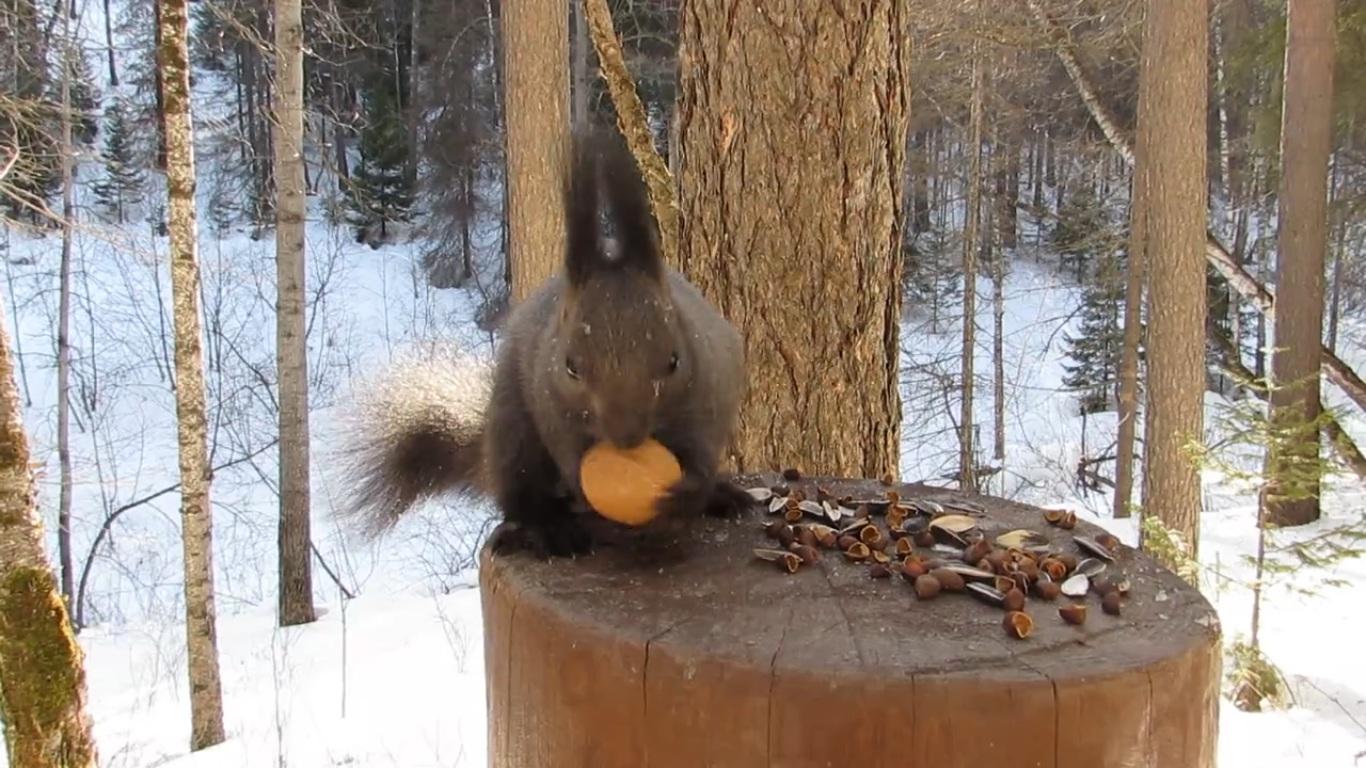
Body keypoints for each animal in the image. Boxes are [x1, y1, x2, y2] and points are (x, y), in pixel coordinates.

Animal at [337, 125, 754, 554]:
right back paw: (550, 528)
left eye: (673, 361)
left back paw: (721, 497)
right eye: (571, 366)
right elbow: (567, 454)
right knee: (522, 496)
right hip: (511, 430)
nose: (625, 438)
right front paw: (586, 497)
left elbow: (702, 453)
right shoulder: (551, 402)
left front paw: (689, 494)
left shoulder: (710, 391)